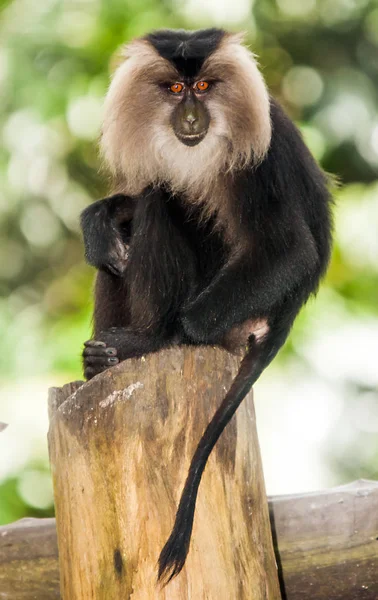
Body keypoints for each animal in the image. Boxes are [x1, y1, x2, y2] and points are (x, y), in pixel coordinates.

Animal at [80, 27, 334, 580]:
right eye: (176, 90)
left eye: (202, 86)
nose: (192, 118)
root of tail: (285, 312)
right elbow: (121, 219)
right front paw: (100, 217)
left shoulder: (259, 160)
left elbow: (289, 249)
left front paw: (166, 337)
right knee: (124, 242)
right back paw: (98, 359)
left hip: (230, 307)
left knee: (162, 202)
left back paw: (142, 342)